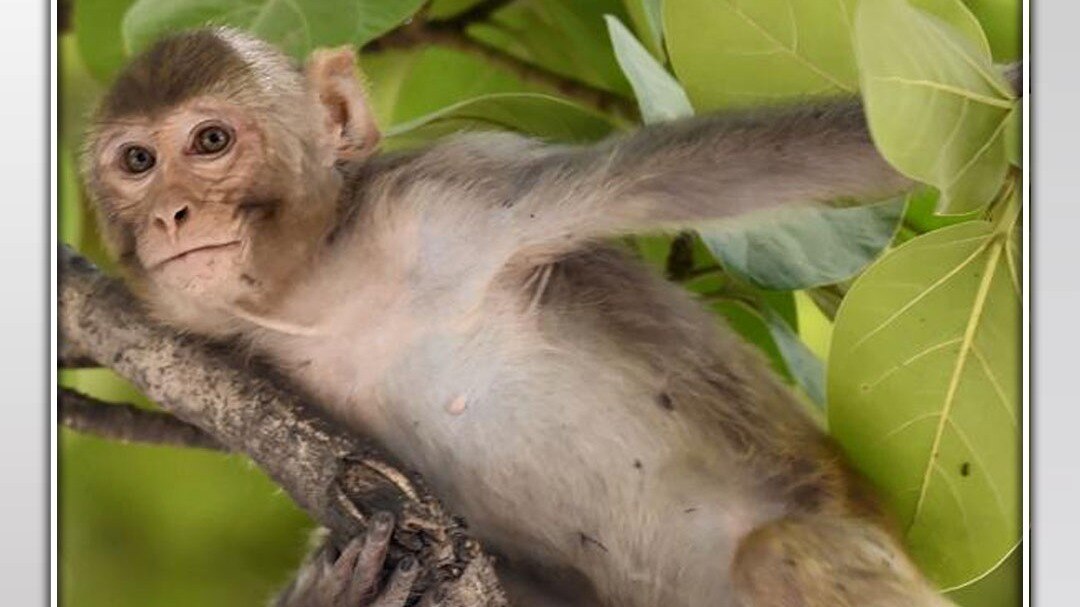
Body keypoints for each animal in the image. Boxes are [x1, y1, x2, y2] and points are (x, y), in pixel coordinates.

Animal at [79, 27, 966, 607]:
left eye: (211, 141)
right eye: (137, 162)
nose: (172, 215)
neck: (329, 286)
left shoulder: (452, 198)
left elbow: (706, 172)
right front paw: (337, 593)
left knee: (784, 554)